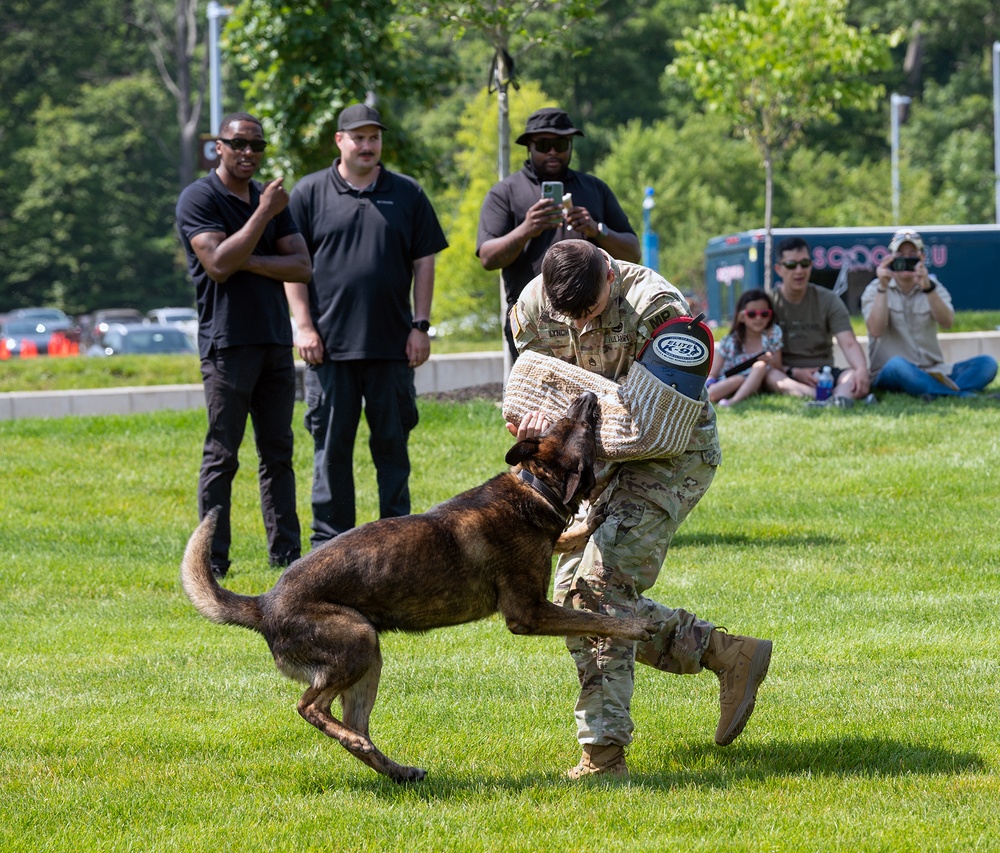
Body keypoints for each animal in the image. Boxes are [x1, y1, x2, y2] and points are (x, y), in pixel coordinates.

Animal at [182, 392, 656, 780]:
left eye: (563, 420)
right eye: (577, 426)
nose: (588, 394)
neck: (535, 487)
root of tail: (264, 604)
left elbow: (571, 536)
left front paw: (592, 518)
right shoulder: (529, 613)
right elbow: (592, 617)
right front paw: (634, 627)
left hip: (368, 661)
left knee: (353, 724)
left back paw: (396, 769)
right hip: (356, 639)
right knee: (310, 707)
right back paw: (360, 744)